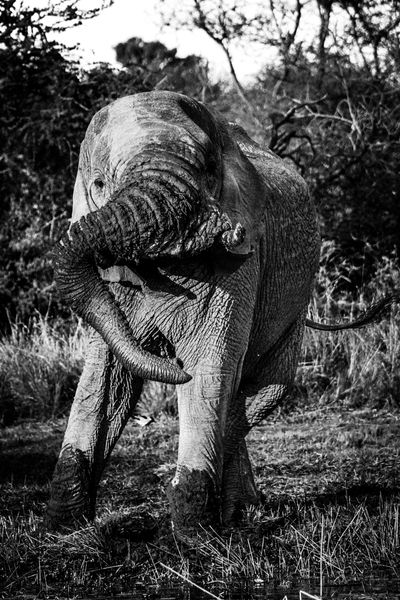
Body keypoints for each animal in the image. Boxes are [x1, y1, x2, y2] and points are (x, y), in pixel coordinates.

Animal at [47, 92, 320, 536]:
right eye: (99, 184)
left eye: (208, 170)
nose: (229, 232)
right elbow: (106, 375)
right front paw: (61, 526)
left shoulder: (240, 260)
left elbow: (208, 361)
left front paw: (195, 535)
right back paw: (240, 511)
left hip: (297, 301)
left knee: (265, 387)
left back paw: (235, 513)